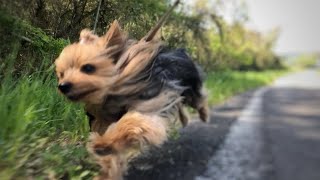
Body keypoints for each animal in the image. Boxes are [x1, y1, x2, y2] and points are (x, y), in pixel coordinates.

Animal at [54, 3, 208, 180]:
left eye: (88, 68)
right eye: (61, 74)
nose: (63, 86)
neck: (112, 93)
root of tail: (181, 51)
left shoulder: (149, 105)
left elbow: (130, 122)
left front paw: (102, 143)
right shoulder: (103, 119)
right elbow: (111, 156)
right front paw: (106, 170)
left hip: (190, 87)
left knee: (198, 99)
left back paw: (204, 114)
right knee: (181, 105)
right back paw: (186, 119)